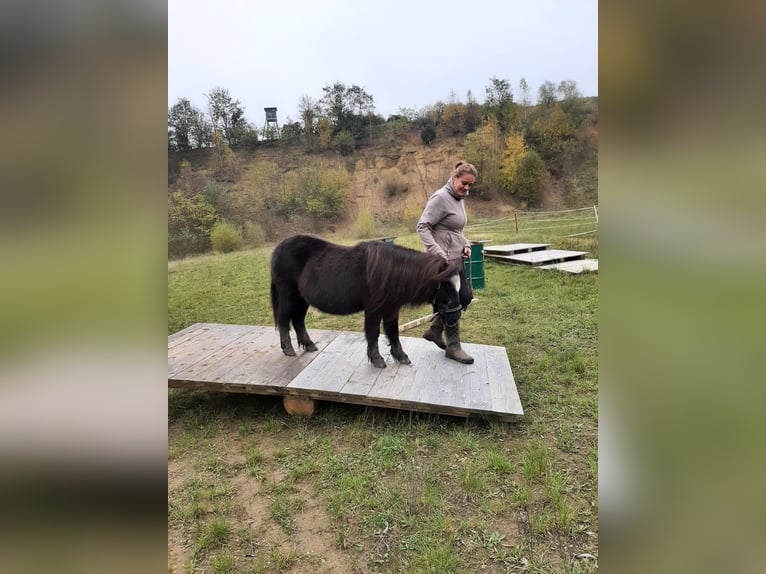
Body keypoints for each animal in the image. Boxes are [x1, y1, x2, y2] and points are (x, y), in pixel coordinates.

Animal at [270, 234, 464, 368]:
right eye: (447, 286)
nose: (455, 316)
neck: (390, 272)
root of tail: (278, 249)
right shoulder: (373, 309)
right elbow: (373, 333)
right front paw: (377, 359)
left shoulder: (391, 309)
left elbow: (393, 332)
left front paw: (400, 356)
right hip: (289, 297)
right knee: (284, 320)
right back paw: (288, 349)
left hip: (302, 300)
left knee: (298, 321)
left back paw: (309, 345)